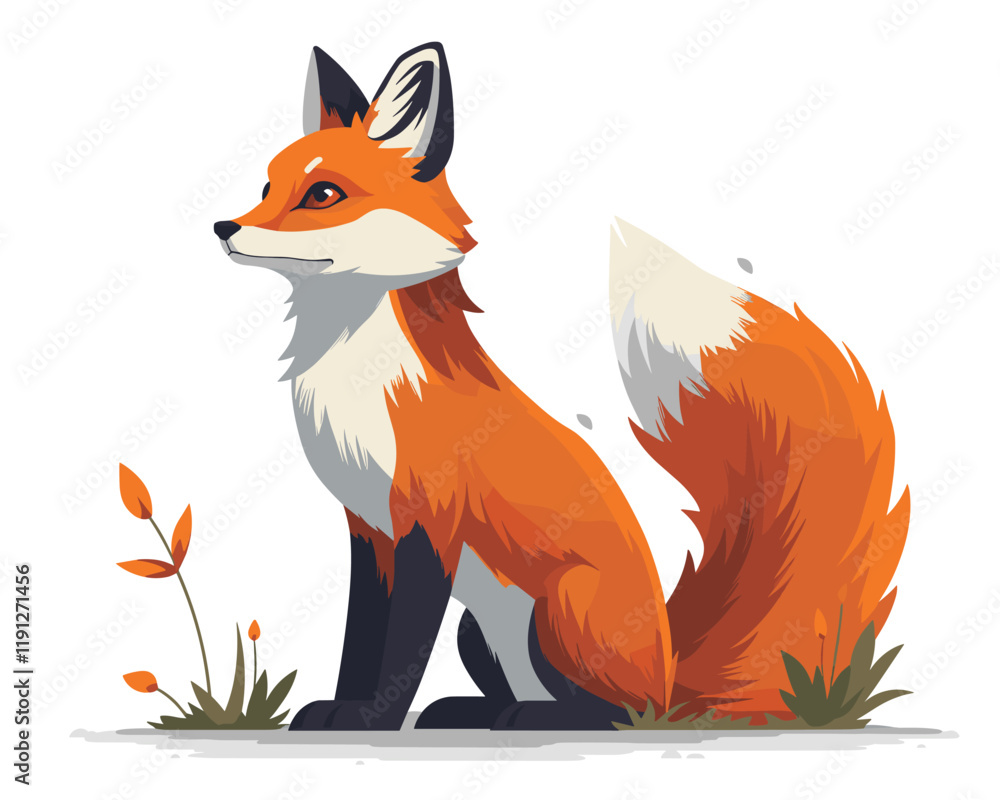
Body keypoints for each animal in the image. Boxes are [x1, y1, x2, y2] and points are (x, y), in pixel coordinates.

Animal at [214, 43, 909, 730]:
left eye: (323, 194)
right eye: (267, 186)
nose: (223, 227)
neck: (360, 377)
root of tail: (670, 676)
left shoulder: (425, 526)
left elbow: (395, 650)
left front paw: (368, 720)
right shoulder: (368, 528)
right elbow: (360, 638)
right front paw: (344, 707)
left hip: (560, 606)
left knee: (608, 714)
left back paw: (528, 718)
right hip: (479, 629)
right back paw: (475, 711)